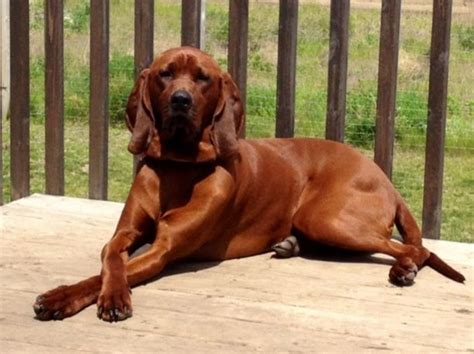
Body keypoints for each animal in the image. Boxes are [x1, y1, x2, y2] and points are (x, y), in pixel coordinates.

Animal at [34, 46, 466, 320]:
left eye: (203, 79)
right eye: (165, 74)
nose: (180, 100)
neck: (179, 166)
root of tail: (386, 180)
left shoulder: (164, 249)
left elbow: (105, 274)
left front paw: (81, 297)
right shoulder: (124, 234)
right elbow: (110, 261)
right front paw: (78, 294)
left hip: (325, 217)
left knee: (414, 248)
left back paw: (403, 270)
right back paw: (291, 245)